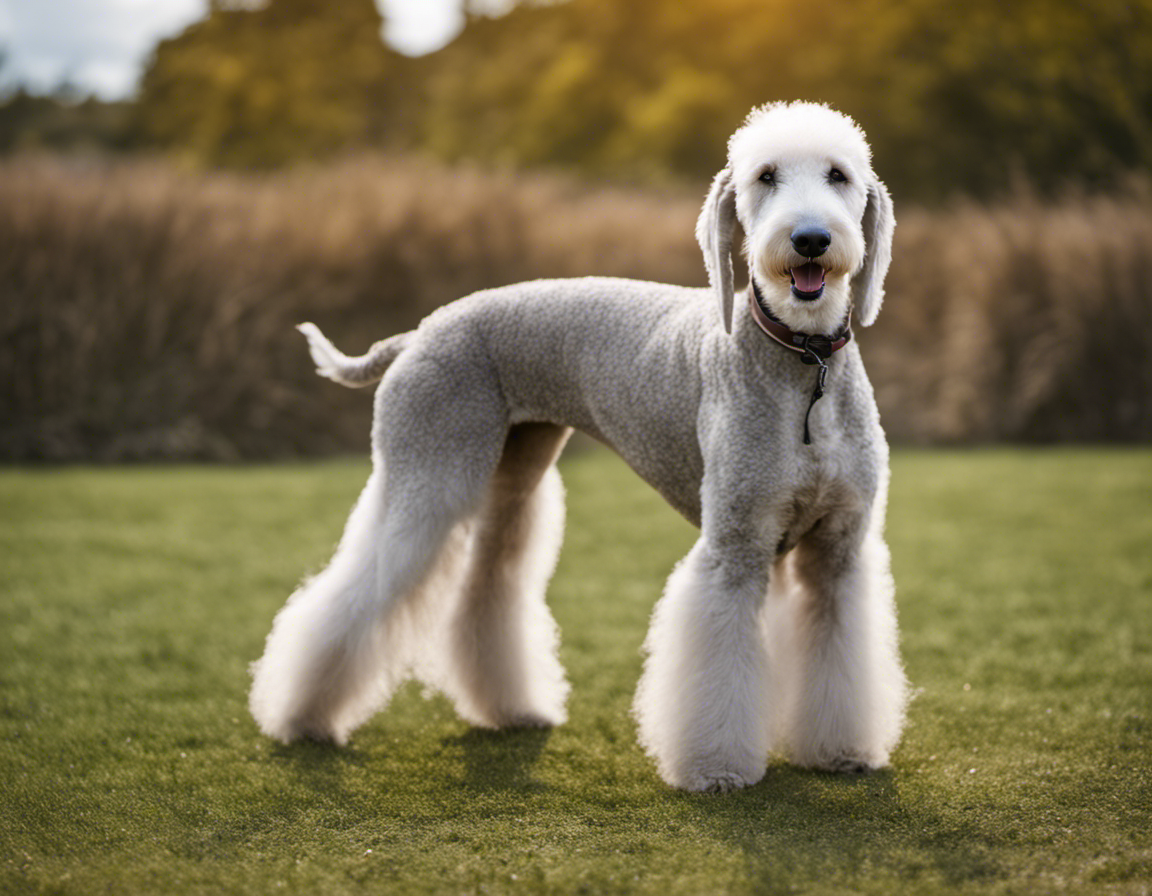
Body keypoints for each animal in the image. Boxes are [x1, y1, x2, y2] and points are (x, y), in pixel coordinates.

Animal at [249, 101, 907, 792]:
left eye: (838, 175)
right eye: (766, 176)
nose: (809, 239)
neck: (803, 361)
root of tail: (420, 331)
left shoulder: (837, 551)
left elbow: (839, 653)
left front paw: (842, 752)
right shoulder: (734, 547)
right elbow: (718, 660)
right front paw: (715, 769)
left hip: (513, 472)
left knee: (487, 585)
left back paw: (510, 709)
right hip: (428, 472)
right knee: (358, 591)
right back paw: (301, 721)